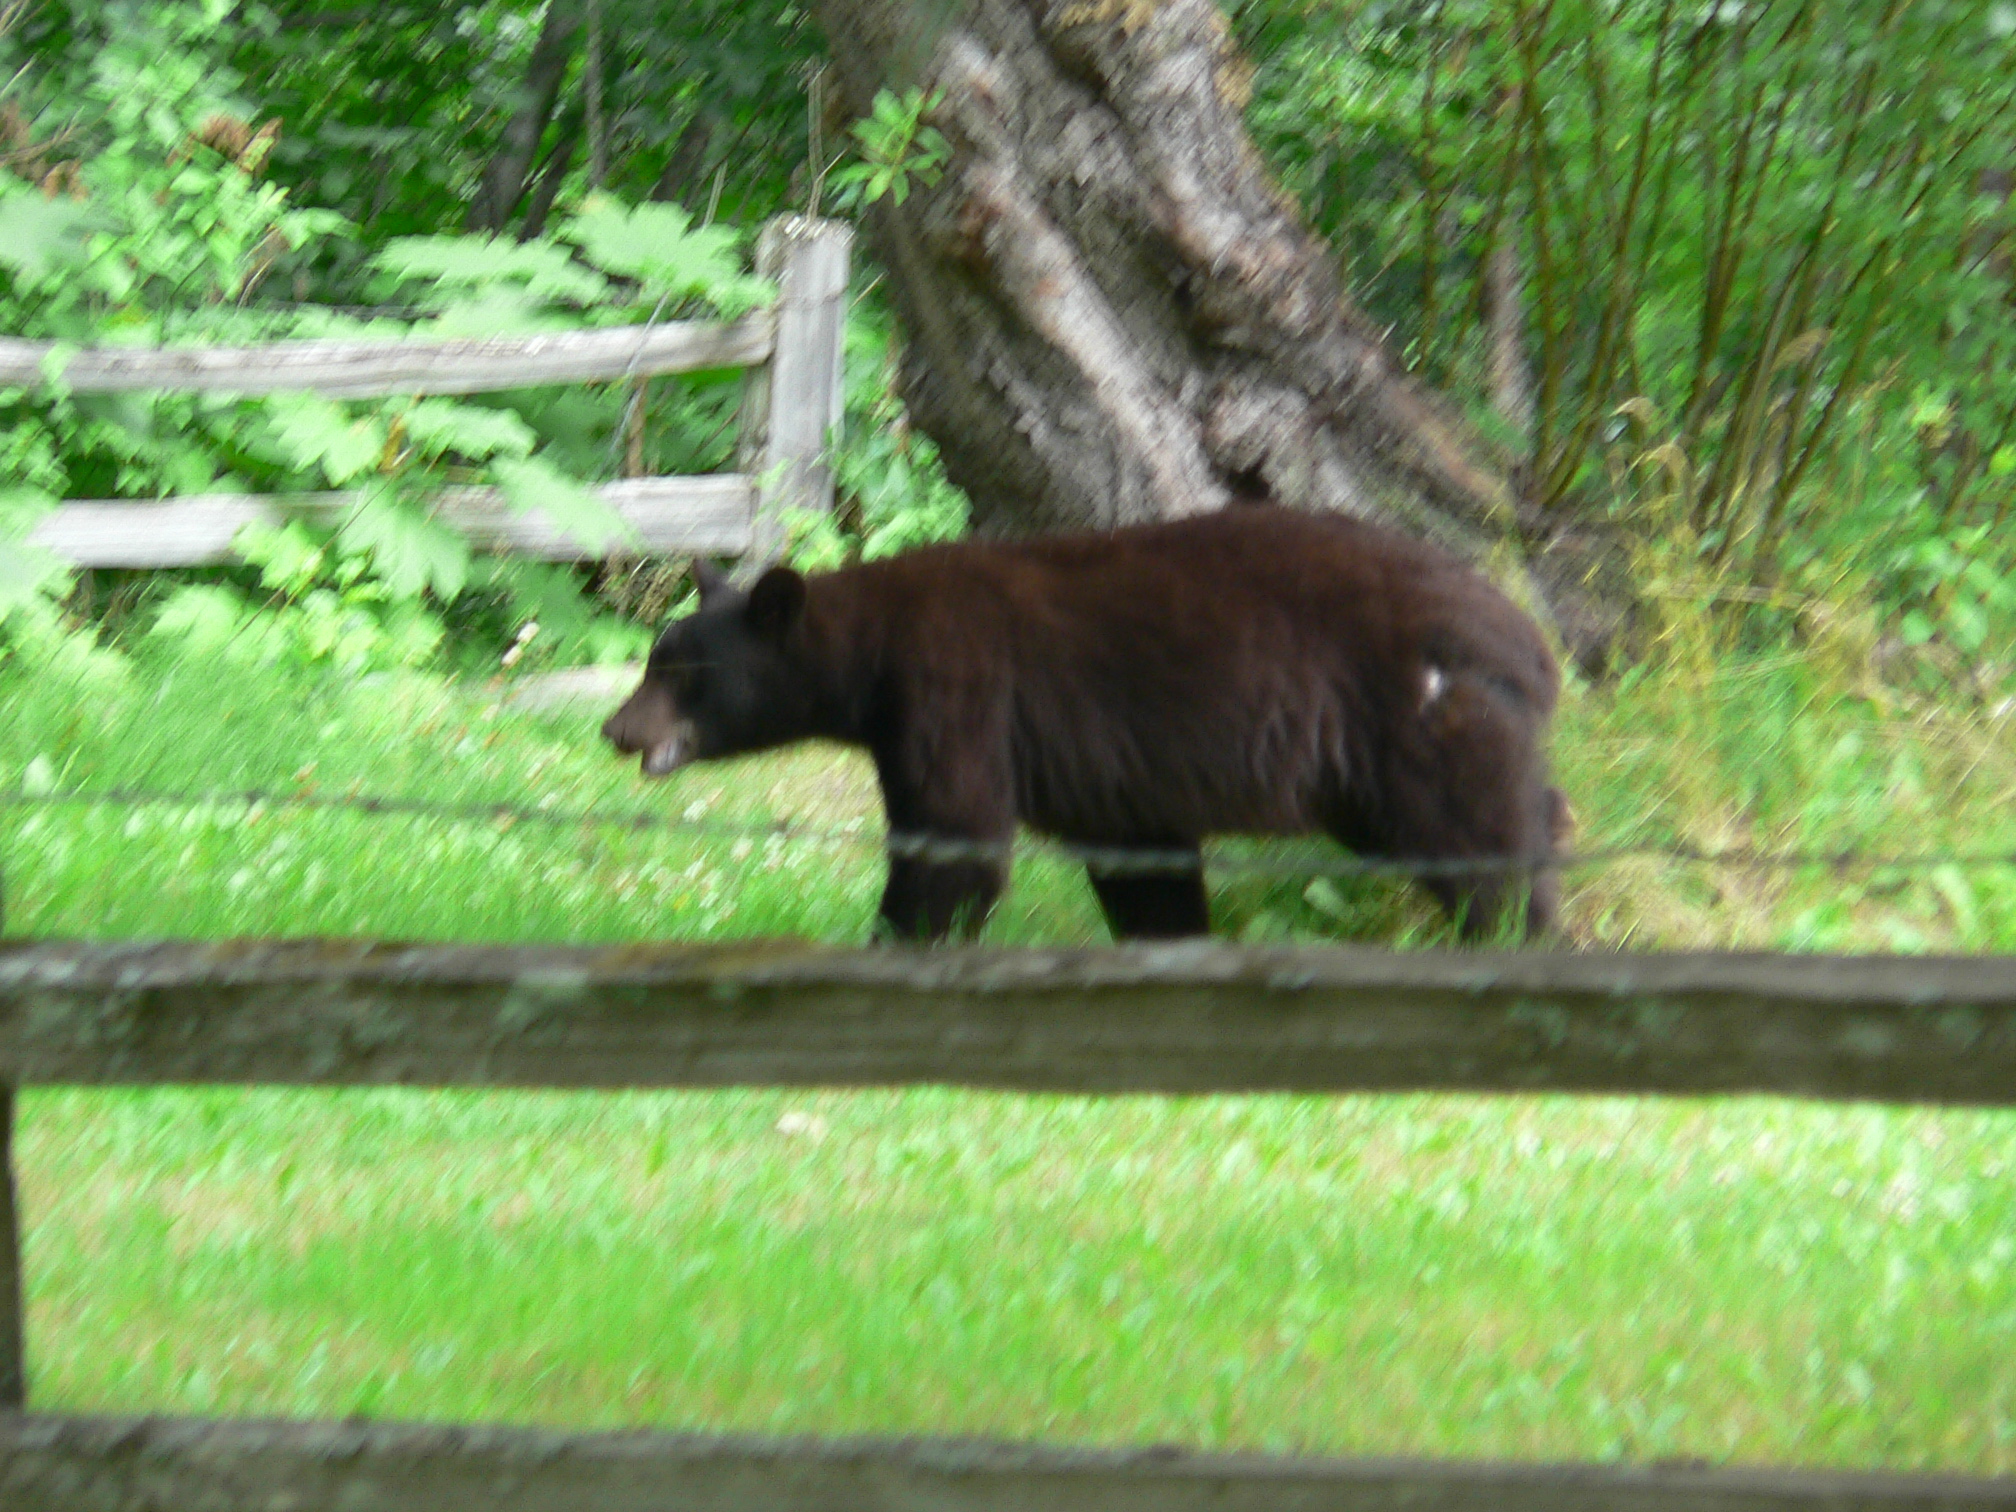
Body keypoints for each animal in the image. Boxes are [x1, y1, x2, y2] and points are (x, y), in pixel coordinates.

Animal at [602, 505, 1565, 943]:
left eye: (681, 675)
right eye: (653, 660)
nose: (616, 729)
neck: (868, 653)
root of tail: (1528, 641)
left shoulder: (956, 687)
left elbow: (954, 836)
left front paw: (898, 940)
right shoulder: (1114, 776)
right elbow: (1142, 867)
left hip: (1408, 719)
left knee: (1479, 844)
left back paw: (1510, 937)